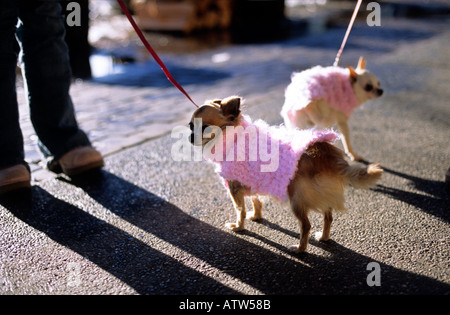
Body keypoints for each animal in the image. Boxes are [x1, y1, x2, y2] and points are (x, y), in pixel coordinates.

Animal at [188, 96, 382, 254]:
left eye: (204, 128)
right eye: (191, 126)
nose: (190, 137)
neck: (231, 135)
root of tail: (326, 153)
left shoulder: (234, 188)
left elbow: (240, 210)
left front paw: (238, 227)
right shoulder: (253, 180)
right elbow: (256, 201)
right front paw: (256, 216)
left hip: (296, 199)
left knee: (306, 225)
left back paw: (300, 249)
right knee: (328, 217)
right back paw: (323, 237)